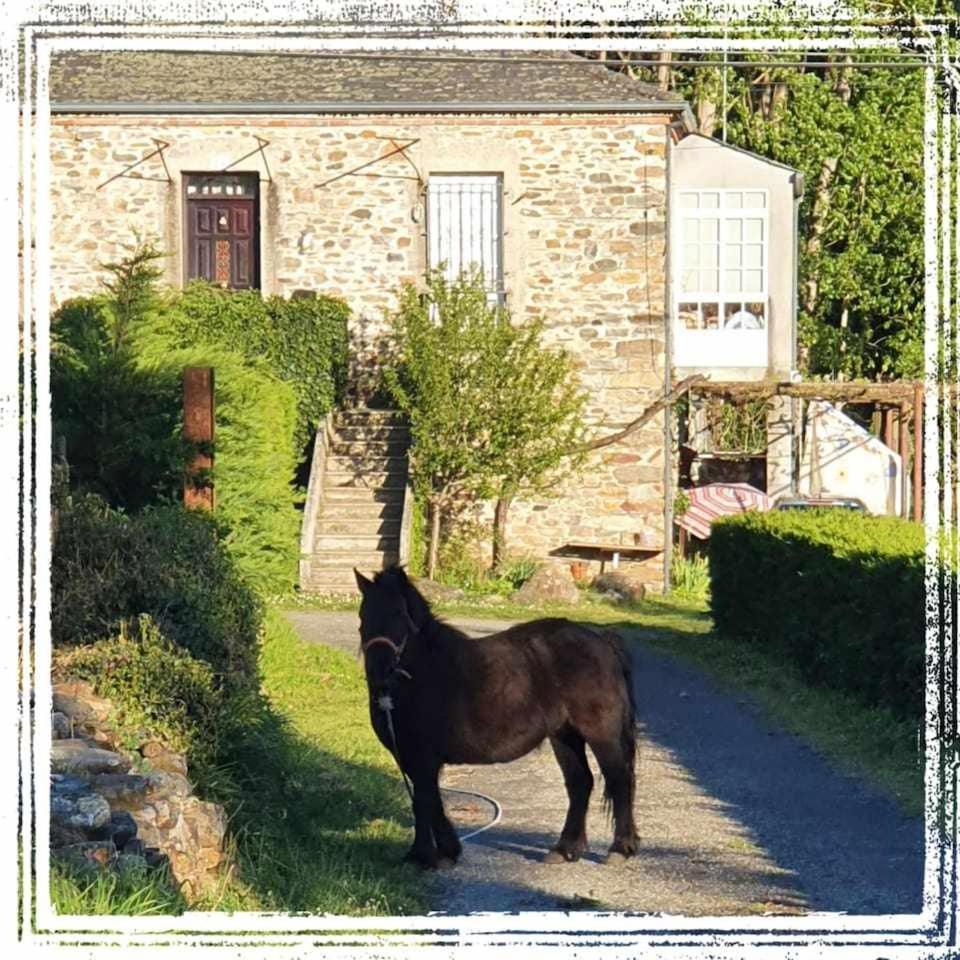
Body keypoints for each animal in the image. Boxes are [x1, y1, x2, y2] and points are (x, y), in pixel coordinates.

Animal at [352, 564, 636, 872]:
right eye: (363, 615)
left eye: (400, 614)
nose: (379, 672)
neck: (422, 672)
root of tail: (601, 639)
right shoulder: (412, 757)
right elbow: (431, 801)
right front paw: (447, 851)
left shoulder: (423, 757)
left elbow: (423, 802)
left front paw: (422, 856)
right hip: (564, 735)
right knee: (580, 783)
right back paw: (564, 849)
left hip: (600, 733)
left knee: (619, 779)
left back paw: (620, 849)